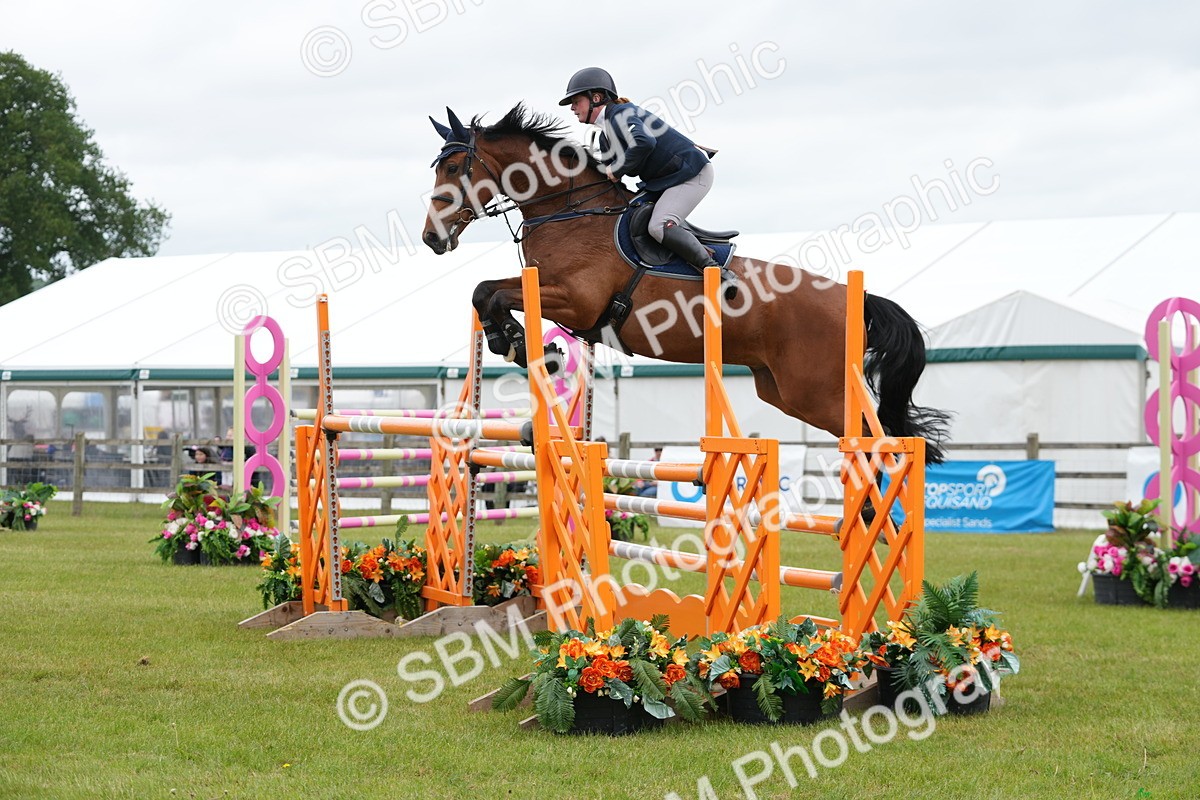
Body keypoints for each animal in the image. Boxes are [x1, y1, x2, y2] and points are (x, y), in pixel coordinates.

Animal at [420, 104, 948, 460]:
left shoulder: (575, 300)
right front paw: (516, 342)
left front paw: (522, 343)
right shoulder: (547, 291)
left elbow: (494, 292)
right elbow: (484, 291)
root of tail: (855, 297)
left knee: (875, 438)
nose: (431, 238)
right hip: (781, 390)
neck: (568, 212)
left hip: (816, 391)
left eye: (454, 168)